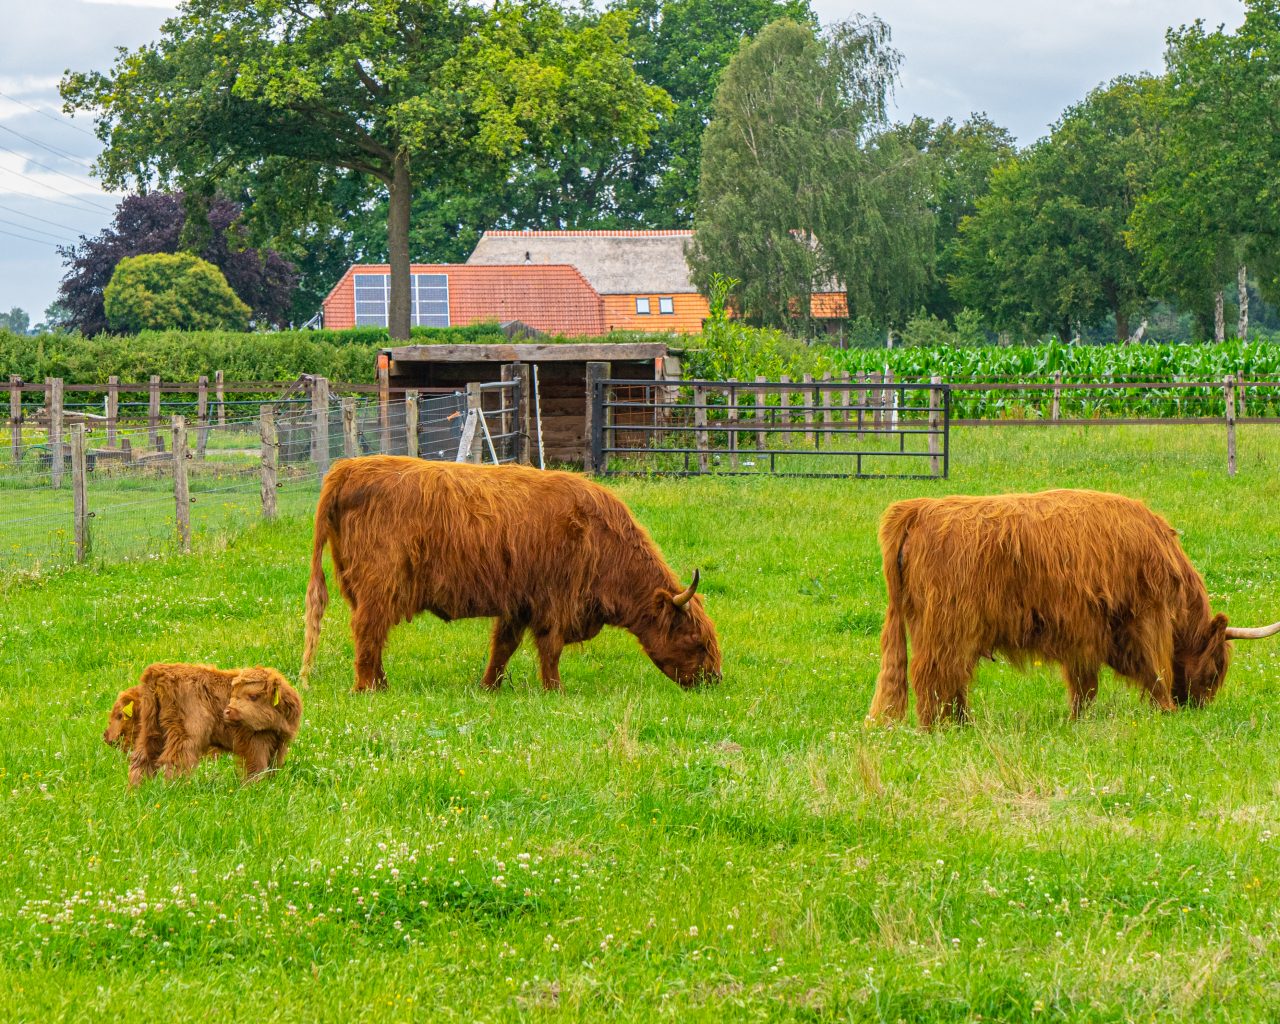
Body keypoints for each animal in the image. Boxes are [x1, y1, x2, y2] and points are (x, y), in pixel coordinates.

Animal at [112, 665, 302, 783]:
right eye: (234, 695)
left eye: (253, 696)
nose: (228, 711)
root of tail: (160, 671)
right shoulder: (255, 743)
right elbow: (257, 768)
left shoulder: (279, 745)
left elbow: (272, 768)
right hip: (187, 735)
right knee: (176, 761)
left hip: (151, 730)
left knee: (142, 760)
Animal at [299, 458, 721, 691]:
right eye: (697, 641)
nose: (714, 680)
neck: (601, 540)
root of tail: (345, 469)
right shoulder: (554, 601)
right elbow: (549, 649)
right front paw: (554, 690)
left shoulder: (519, 602)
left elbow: (503, 646)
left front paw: (489, 687)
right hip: (379, 584)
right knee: (368, 631)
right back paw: (367, 688)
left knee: (373, 635)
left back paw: (382, 684)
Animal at [865, 488, 1274, 727]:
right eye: (1215, 669)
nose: (1197, 707)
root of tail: (917, 509)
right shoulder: (1142, 618)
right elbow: (1155, 671)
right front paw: (1164, 712)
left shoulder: (1084, 632)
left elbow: (1084, 684)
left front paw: (1078, 720)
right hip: (948, 627)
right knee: (935, 676)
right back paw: (943, 727)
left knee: (946, 679)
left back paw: (960, 722)